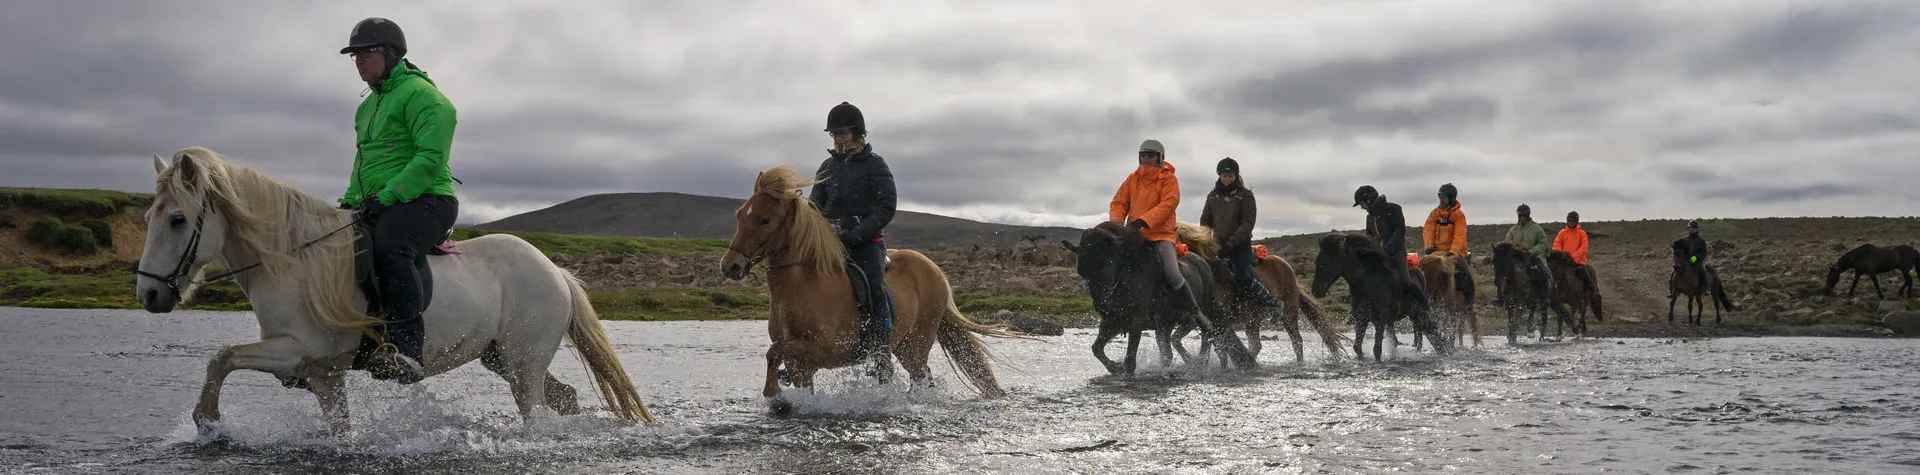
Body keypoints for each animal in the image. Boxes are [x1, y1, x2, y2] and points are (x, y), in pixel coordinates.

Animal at [137, 145, 652, 434]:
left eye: (178, 219)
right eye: (147, 217)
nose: (149, 296)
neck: (293, 262)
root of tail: (555, 271)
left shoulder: (297, 349)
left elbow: (221, 356)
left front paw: (207, 421)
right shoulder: (323, 374)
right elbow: (338, 431)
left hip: (523, 363)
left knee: (538, 409)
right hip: (503, 359)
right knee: (562, 397)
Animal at [721, 164, 1029, 403]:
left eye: (765, 219)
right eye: (739, 214)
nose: (730, 266)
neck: (803, 286)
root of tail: (935, 270)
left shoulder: (826, 349)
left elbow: (773, 351)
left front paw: (772, 392)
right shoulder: (801, 365)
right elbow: (778, 357)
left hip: (917, 342)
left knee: (919, 375)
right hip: (903, 345)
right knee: (923, 377)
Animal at [1052, 222, 1259, 375]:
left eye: (1107, 264)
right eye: (1084, 275)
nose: (1102, 306)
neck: (1126, 274)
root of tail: (1202, 262)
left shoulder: (1135, 322)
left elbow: (1130, 359)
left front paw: (1124, 370)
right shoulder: (1113, 322)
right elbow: (1096, 348)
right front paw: (1114, 367)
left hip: (1203, 310)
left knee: (1208, 335)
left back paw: (1201, 363)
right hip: (1166, 324)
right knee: (1174, 346)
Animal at [1159, 223, 1344, 363]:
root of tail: (1289, 270)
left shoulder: (1201, 319)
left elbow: (1191, 342)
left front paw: (1193, 361)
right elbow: (1183, 341)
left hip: (1286, 314)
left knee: (1295, 341)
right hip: (1253, 320)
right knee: (1257, 345)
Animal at [1305, 232, 1443, 359]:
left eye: (1322, 263)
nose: (1315, 291)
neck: (1367, 283)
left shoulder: (1379, 321)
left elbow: (1377, 350)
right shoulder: (1361, 319)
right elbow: (1357, 347)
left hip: (1418, 313)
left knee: (1430, 333)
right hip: (1411, 316)